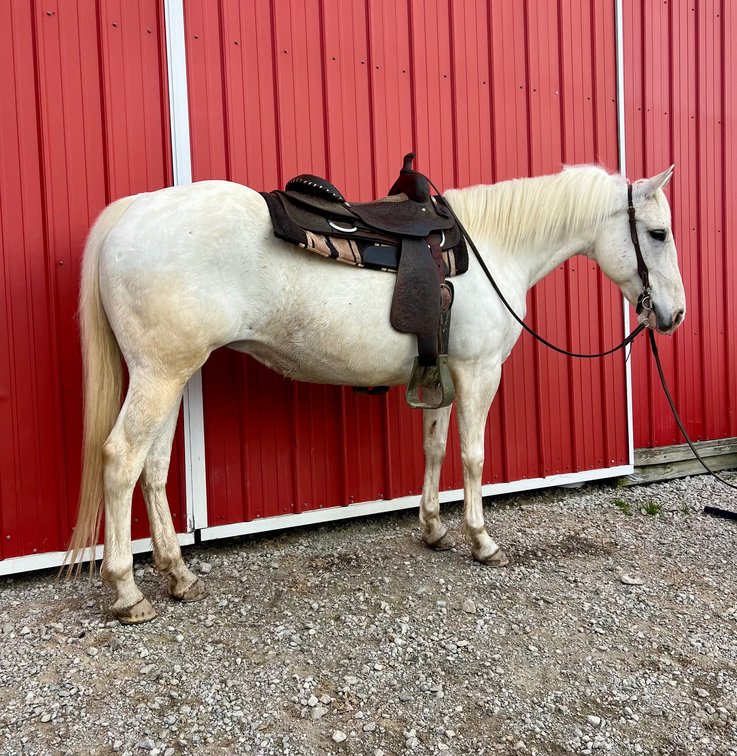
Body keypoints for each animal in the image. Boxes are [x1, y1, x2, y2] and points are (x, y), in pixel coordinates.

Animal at [66, 164, 685, 624]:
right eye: (658, 233)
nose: (674, 315)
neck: (492, 248)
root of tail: (133, 211)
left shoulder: (443, 373)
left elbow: (435, 448)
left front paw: (434, 530)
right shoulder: (479, 372)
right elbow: (473, 456)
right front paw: (481, 540)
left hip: (171, 374)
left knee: (153, 468)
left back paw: (178, 575)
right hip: (159, 374)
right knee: (121, 460)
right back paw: (128, 593)